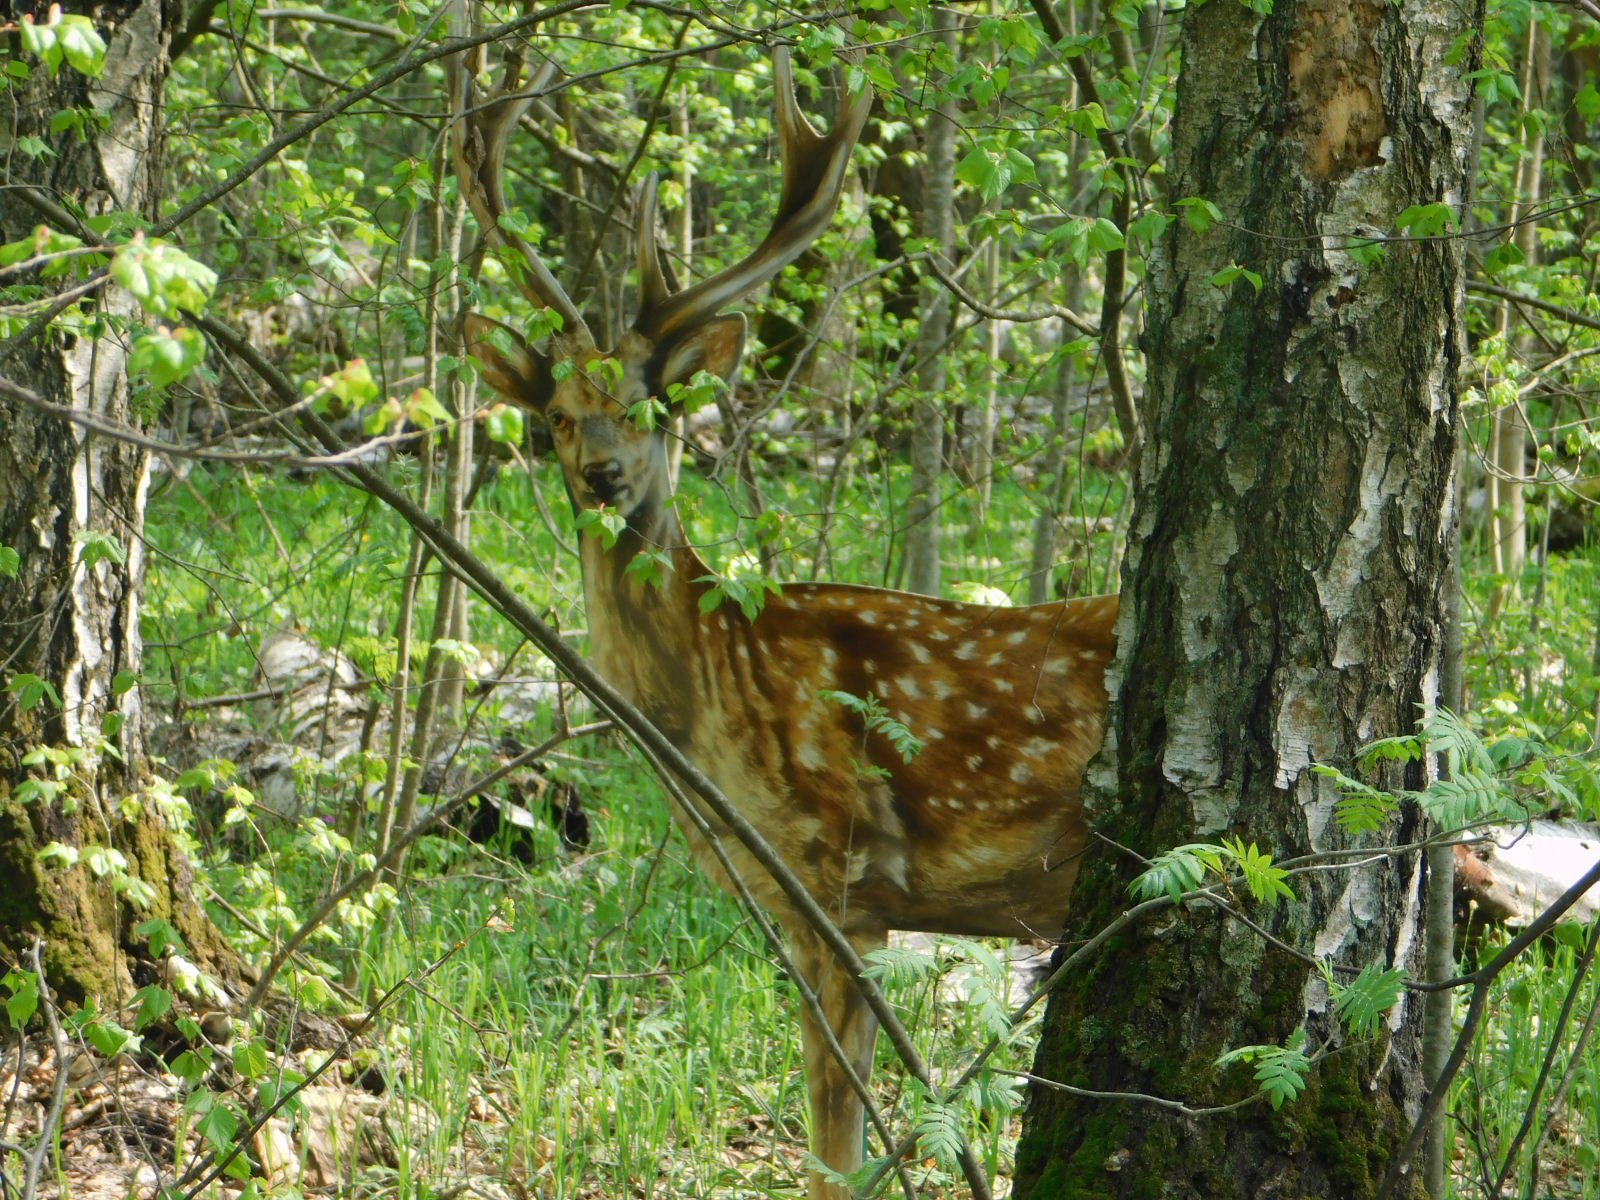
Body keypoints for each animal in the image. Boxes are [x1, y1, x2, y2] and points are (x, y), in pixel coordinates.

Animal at [457, 42, 1120, 1196]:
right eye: (556, 417)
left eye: (652, 405)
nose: (601, 472)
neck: (720, 700)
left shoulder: (836, 880)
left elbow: (831, 1154)